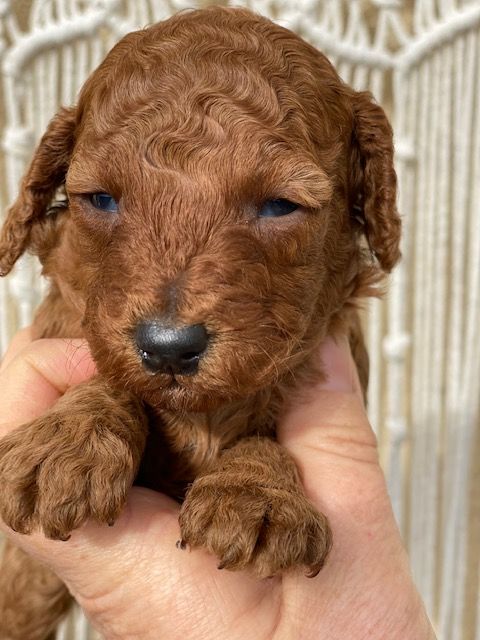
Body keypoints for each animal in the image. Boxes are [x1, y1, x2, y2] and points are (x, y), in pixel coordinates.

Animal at [0, 6, 400, 638]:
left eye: (280, 206)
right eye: (101, 200)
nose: (167, 347)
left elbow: (265, 440)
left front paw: (257, 494)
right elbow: (107, 379)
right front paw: (66, 440)